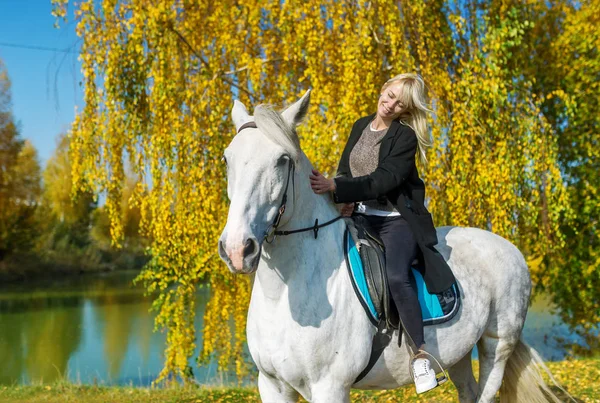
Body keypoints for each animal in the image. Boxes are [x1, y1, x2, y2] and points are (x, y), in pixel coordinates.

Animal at [218, 91, 564, 403]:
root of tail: (510, 248)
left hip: (497, 345)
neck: (285, 293)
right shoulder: (272, 385)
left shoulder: (330, 387)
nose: (237, 249)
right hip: (460, 353)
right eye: (227, 158)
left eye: (282, 160)